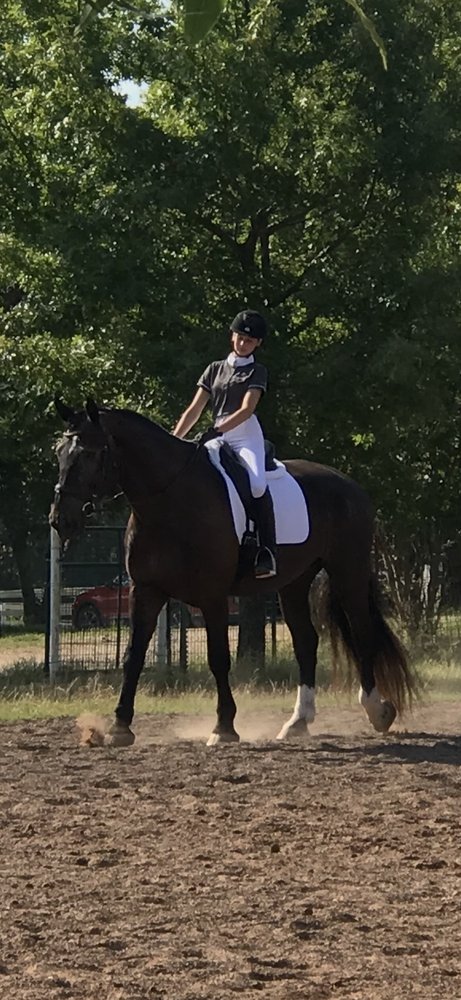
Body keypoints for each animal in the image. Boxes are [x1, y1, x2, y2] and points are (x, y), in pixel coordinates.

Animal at [50, 398, 416, 746]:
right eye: (59, 453)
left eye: (89, 453)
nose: (59, 520)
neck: (171, 500)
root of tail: (350, 485)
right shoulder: (146, 591)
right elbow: (133, 657)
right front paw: (120, 727)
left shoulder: (212, 596)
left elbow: (218, 658)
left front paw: (224, 727)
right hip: (294, 583)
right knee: (305, 641)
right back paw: (298, 722)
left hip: (347, 572)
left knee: (362, 632)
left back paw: (377, 710)